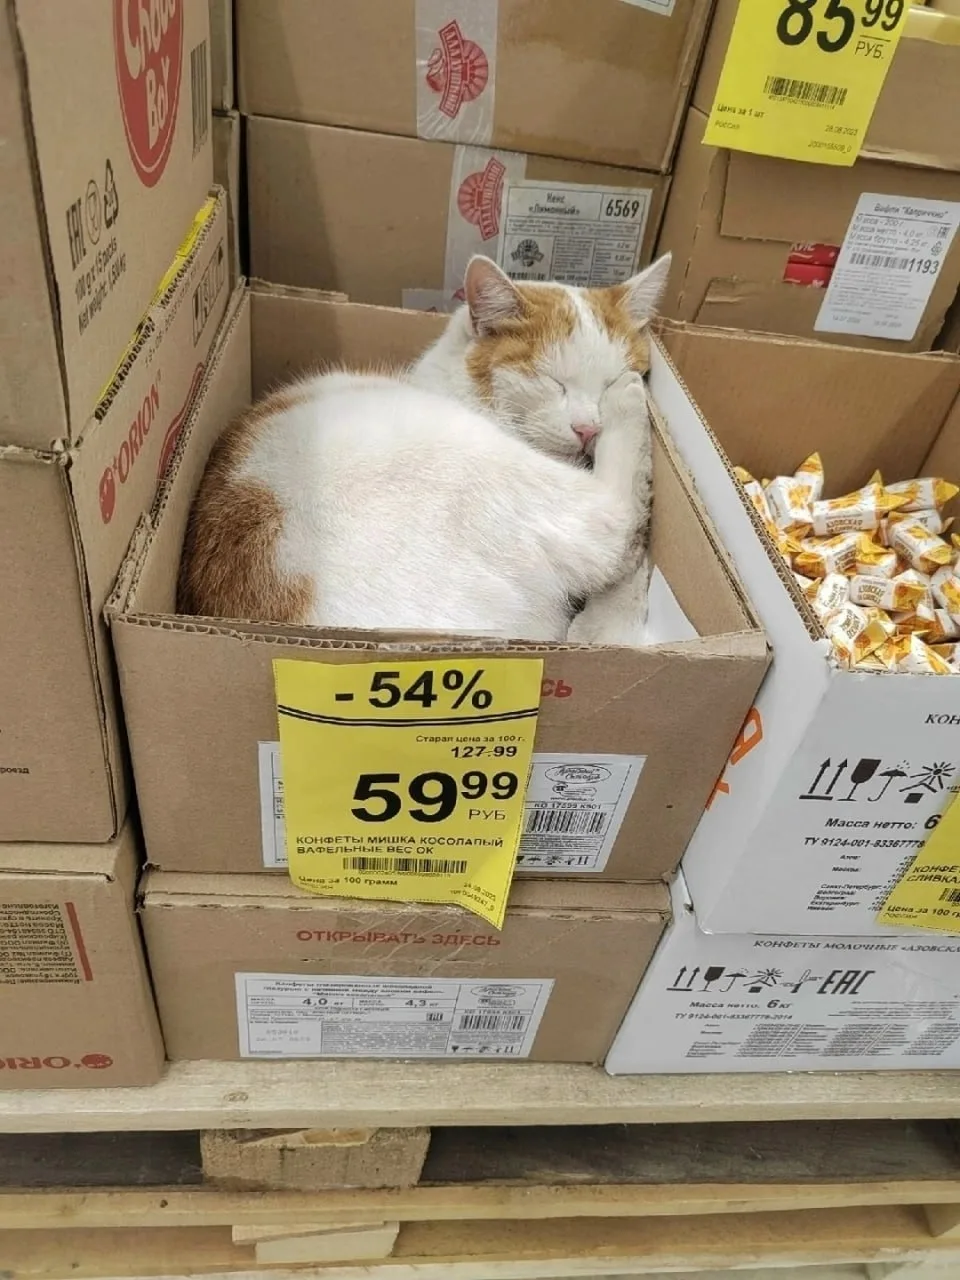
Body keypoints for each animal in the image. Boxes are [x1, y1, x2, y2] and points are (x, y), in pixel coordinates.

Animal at [178, 253, 670, 645]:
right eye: (554, 381)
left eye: (605, 376)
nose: (590, 428)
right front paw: (625, 395)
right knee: (617, 529)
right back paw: (630, 405)